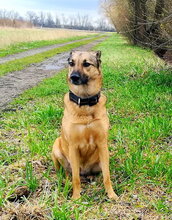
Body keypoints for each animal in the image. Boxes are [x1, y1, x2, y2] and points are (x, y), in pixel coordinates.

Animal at [51, 49, 117, 199]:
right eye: (71, 63)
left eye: (86, 64)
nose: (73, 77)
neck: (85, 102)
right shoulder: (73, 147)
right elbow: (75, 178)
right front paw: (76, 197)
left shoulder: (102, 144)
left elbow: (107, 176)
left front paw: (111, 194)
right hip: (56, 147)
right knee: (66, 172)